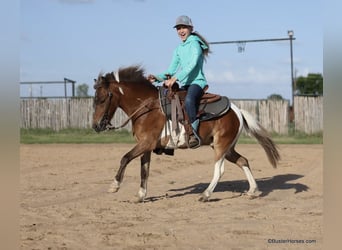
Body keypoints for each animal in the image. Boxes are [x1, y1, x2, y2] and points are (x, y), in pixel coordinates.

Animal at [92, 65, 280, 202]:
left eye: (102, 99)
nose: (95, 126)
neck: (147, 107)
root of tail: (237, 110)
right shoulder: (146, 146)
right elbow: (144, 169)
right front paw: (140, 195)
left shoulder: (146, 143)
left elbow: (125, 158)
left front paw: (114, 185)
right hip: (227, 148)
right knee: (243, 161)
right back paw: (252, 190)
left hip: (221, 146)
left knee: (219, 170)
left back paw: (205, 195)